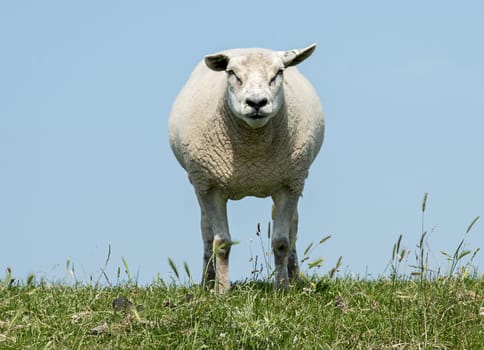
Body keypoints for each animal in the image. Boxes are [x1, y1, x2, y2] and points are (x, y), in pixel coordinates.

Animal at [168, 43, 324, 292]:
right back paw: (206, 281)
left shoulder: (288, 184)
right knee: (206, 231)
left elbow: (281, 241)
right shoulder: (211, 186)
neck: (252, 156)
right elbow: (221, 242)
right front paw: (222, 291)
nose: (257, 102)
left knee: (294, 227)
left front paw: (282, 288)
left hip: (296, 177)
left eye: (279, 72)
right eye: (232, 73)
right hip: (199, 182)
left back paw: (295, 276)